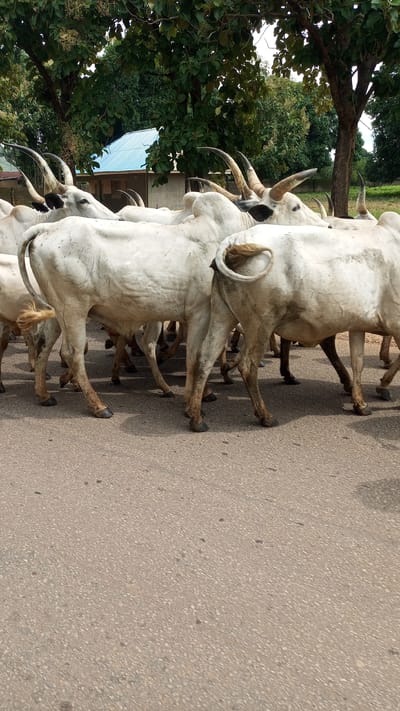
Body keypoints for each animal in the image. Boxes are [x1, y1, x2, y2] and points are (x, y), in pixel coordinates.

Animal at [185, 211, 400, 431]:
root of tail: (233, 242)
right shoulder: (396, 323)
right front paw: (382, 387)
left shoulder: (357, 325)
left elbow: (358, 362)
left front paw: (360, 403)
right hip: (261, 323)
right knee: (247, 365)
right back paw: (265, 415)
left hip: (223, 314)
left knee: (205, 357)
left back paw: (196, 417)